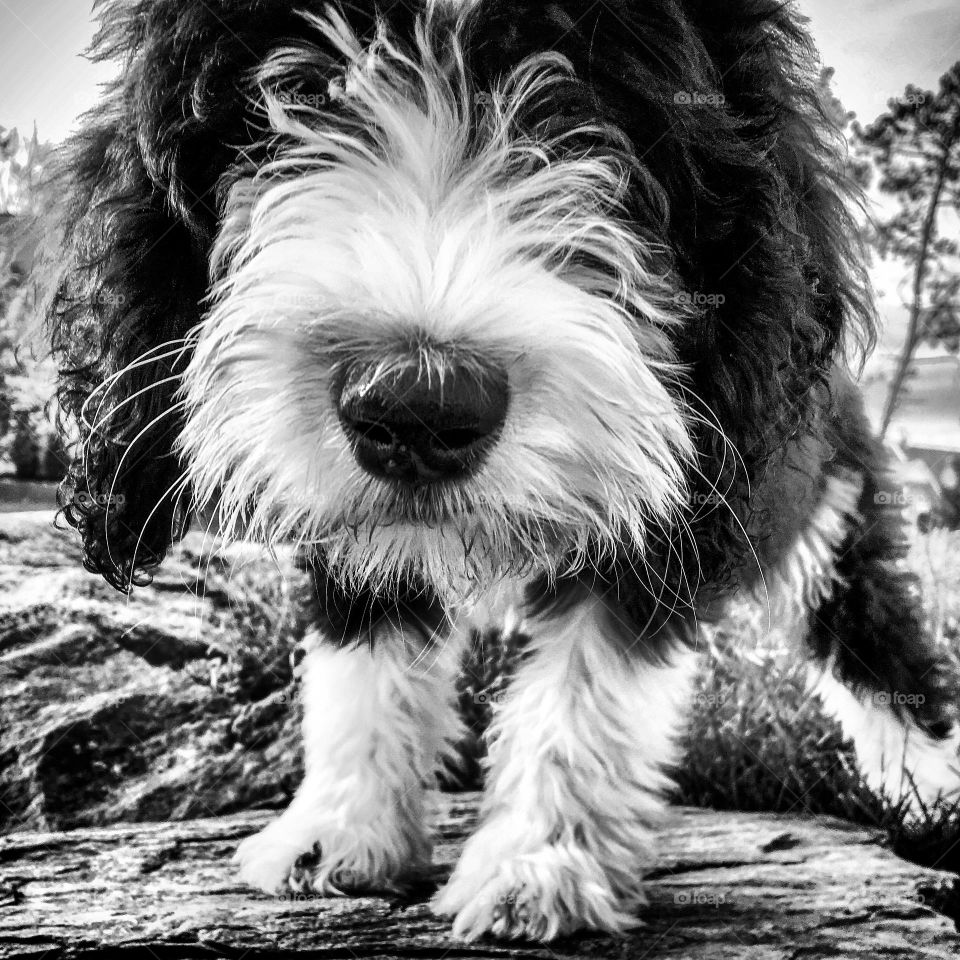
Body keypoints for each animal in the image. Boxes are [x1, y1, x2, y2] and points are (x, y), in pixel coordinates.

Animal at [48, 0, 960, 944]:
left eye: (595, 106)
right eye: (296, 94)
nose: (418, 403)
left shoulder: (666, 494)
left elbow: (584, 683)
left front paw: (538, 868)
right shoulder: (353, 527)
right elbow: (360, 654)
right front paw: (339, 831)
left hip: (831, 505)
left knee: (876, 638)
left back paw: (925, 786)